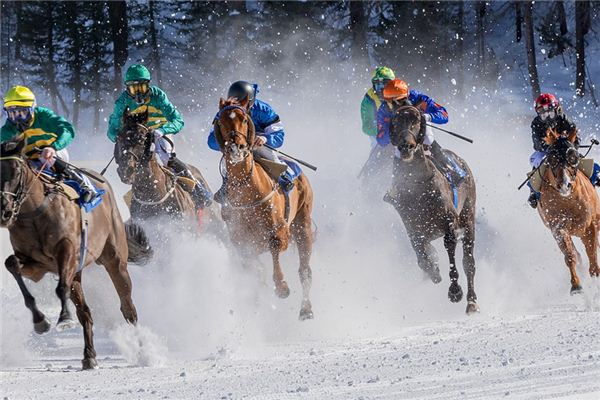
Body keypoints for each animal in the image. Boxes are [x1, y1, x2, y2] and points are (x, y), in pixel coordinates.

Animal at [0, 138, 152, 368]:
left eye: (17, 171)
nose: (5, 211)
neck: (35, 212)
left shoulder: (67, 251)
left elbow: (61, 287)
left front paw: (64, 319)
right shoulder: (37, 265)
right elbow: (12, 264)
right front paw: (40, 321)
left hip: (115, 259)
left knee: (128, 307)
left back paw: (143, 351)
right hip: (78, 272)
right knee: (85, 312)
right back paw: (89, 355)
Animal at [212, 97, 314, 318]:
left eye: (243, 119)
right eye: (221, 121)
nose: (236, 148)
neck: (248, 191)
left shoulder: (281, 231)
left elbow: (275, 247)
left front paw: (282, 286)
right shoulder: (241, 242)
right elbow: (255, 270)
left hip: (303, 223)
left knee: (305, 270)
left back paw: (306, 309)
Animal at [384, 104, 478, 316]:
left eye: (417, 120)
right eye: (395, 121)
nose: (406, 146)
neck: (418, 187)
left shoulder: (450, 224)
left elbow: (451, 253)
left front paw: (455, 291)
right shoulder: (413, 229)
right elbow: (422, 258)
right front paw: (434, 270)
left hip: (469, 217)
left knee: (468, 262)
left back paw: (471, 302)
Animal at [536, 128, 600, 294]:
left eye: (573, 157)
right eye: (552, 158)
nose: (565, 185)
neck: (568, 202)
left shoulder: (589, 226)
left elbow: (592, 253)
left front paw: (596, 276)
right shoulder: (558, 228)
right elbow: (570, 255)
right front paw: (576, 285)